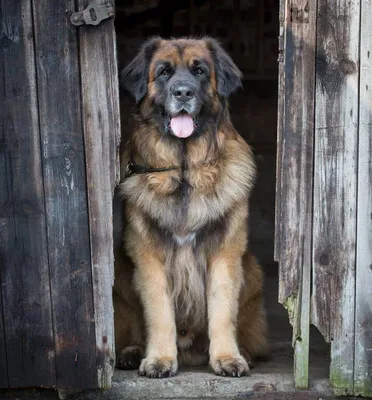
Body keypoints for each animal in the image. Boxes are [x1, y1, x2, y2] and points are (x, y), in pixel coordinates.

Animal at [113, 38, 268, 378]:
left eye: (199, 71)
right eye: (163, 72)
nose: (183, 93)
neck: (184, 170)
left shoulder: (224, 253)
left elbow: (222, 310)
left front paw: (227, 357)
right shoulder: (148, 256)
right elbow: (159, 313)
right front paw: (159, 359)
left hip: (252, 270)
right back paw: (131, 352)